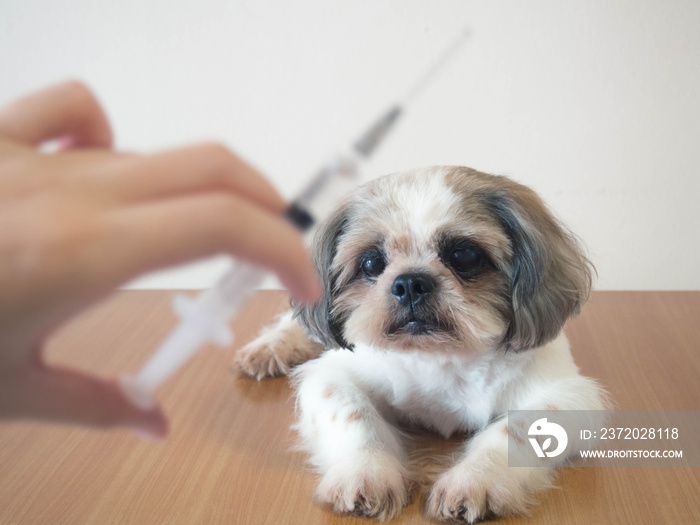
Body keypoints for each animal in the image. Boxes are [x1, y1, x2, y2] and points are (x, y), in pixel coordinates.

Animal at [235, 166, 608, 520]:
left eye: (464, 255)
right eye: (371, 262)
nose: (411, 282)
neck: (439, 356)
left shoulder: (568, 395)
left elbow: (515, 429)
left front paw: (476, 479)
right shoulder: (333, 376)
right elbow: (354, 413)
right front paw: (366, 471)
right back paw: (271, 347)